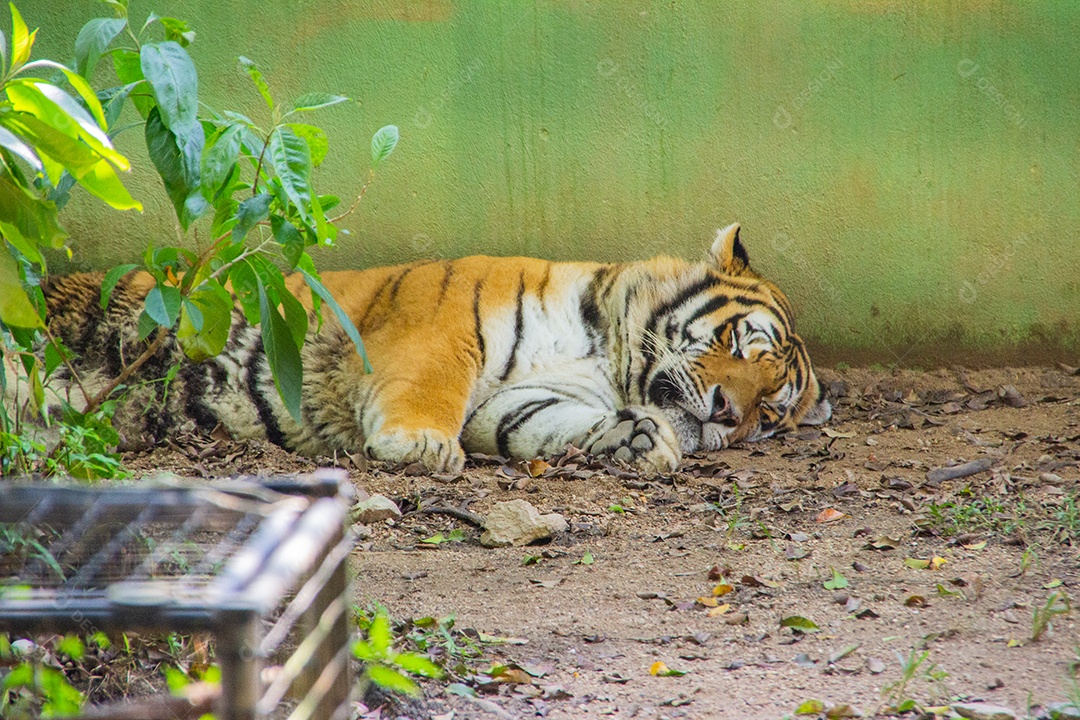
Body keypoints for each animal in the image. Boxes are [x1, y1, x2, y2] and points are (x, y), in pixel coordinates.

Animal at [18, 223, 830, 474]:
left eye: (769, 411)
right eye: (735, 342)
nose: (726, 412)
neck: (610, 354)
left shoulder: (513, 404)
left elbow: (545, 424)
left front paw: (642, 439)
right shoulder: (440, 329)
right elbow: (433, 383)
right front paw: (420, 447)